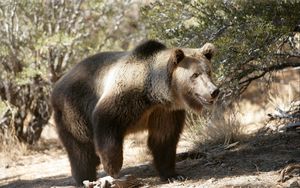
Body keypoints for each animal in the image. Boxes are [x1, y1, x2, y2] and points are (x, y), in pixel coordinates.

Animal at [51, 39, 219, 185]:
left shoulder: (164, 112)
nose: (214, 91)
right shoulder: (126, 96)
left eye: (209, 71)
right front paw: (113, 167)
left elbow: (164, 139)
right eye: (195, 75)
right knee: (81, 148)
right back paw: (85, 178)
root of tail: (58, 83)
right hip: (73, 110)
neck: (154, 94)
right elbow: (107, 123)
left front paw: (173, 175)